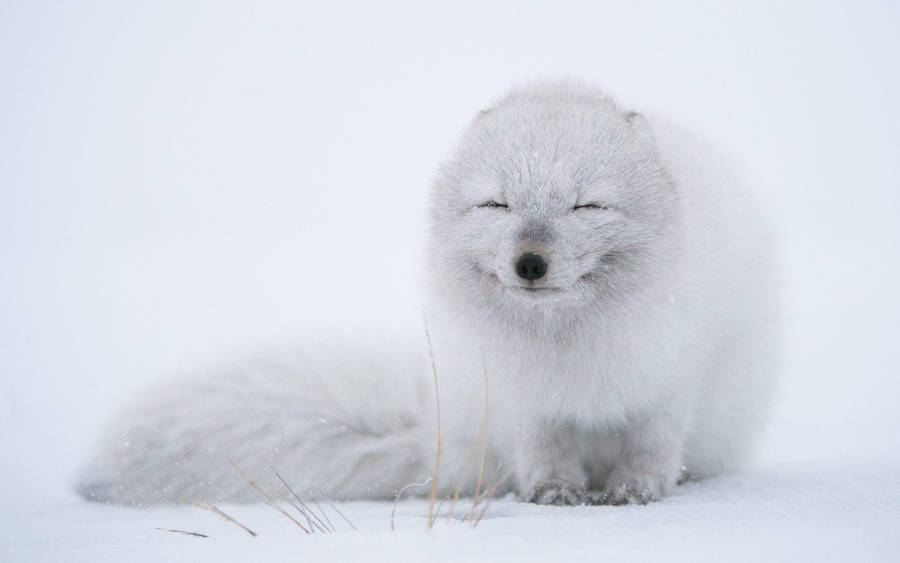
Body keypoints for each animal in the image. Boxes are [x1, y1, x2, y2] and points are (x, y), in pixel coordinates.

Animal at [77, 81, 779, 506]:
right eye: (496, 204)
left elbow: (652, 445)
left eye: (587, 204)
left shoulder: (673, 375)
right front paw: (554, 495)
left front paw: (636, 493)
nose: (529, 262)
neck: (566, 347)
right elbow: (545, 452)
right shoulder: (524, 397)